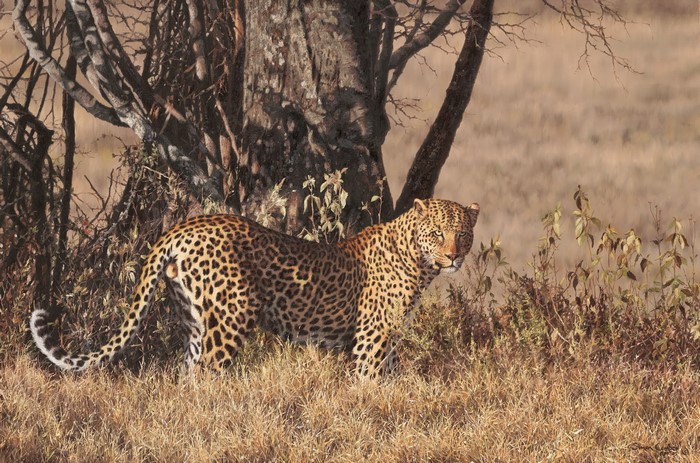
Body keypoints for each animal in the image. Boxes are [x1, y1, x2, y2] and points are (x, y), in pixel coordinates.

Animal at [30, 198, 479, 377]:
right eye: (437, 233)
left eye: (462, 234)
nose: (454, 257)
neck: (419, 262)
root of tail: (182, 227)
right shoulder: (373, 337)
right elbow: (369, 382)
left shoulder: (386, 338)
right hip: (233, 315)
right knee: (208, 375)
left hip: (195, 320)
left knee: (188, 375)